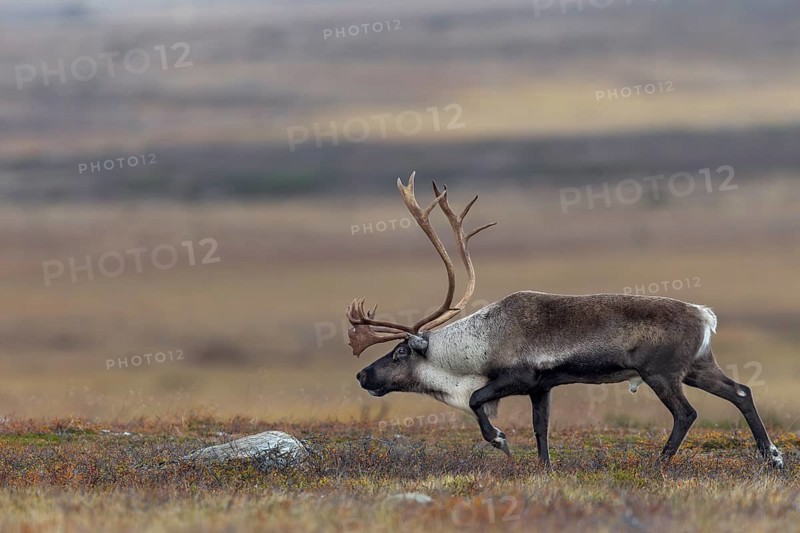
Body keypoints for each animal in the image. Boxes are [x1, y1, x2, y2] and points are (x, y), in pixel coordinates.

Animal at [349, 172, 784, 468]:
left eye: (399, 352)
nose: (362, 375)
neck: (479, 345)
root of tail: (703, 314)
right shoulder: (542, 386)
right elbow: (541, 427)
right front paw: (544, 467)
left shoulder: (516, 378)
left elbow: (476, 401)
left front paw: (500, 440)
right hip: (697, 366)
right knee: (741, 391)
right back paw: (771, 456)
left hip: (661, 373)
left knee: (686, 413)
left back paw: (660, 462)